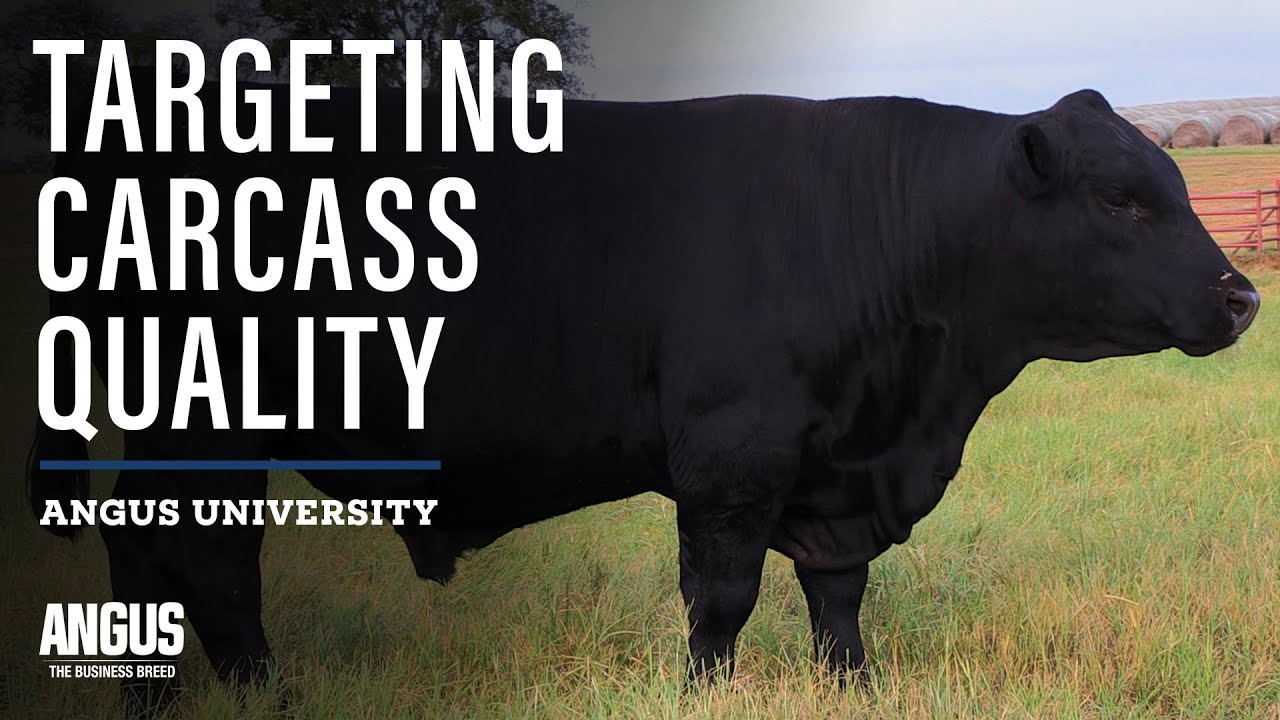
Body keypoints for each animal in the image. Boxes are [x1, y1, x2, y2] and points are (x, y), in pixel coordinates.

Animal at [29, 86, 1259, 712]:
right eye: (1122, 199)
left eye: (1172, 181)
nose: (1241, 294)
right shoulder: (732, 457)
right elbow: (720, 602)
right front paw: (708, 695)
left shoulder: (837, 474)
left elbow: (838, 597)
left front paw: (854, 689)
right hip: (205, 422)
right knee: (203, 560)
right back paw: (253, 698)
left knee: (158, 553)